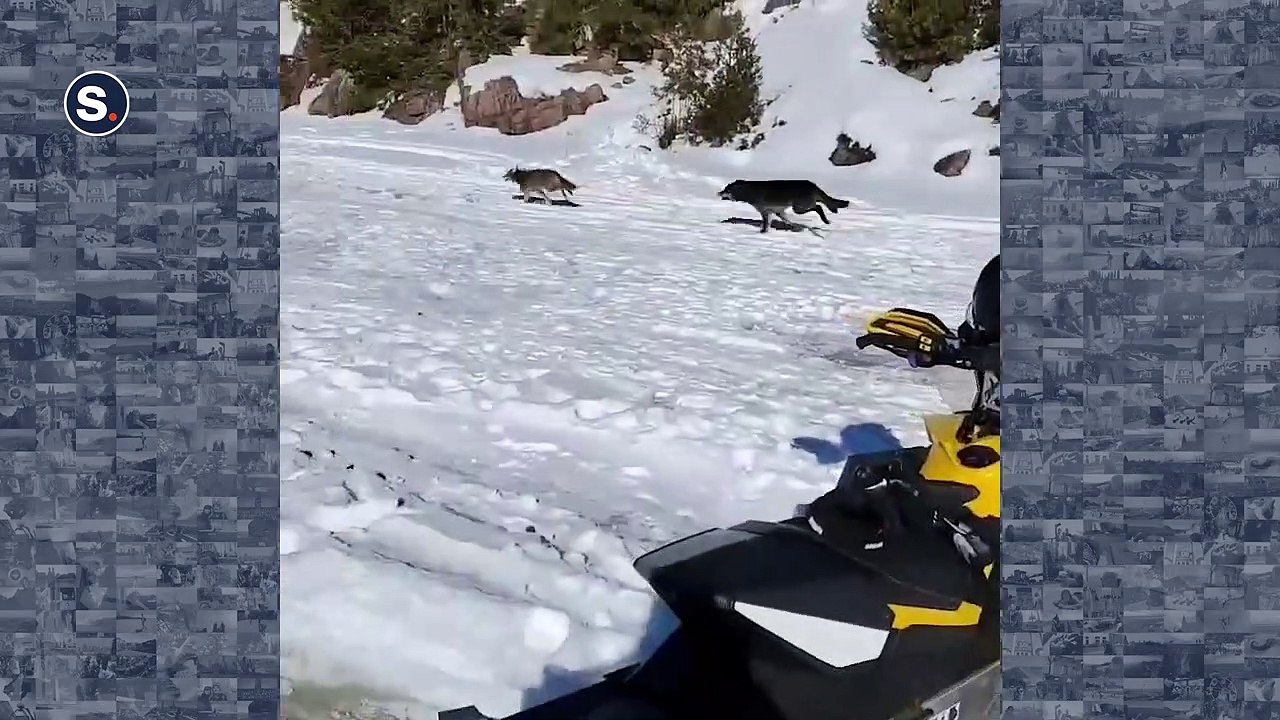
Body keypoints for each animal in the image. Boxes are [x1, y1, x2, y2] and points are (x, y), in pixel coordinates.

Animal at [717, 179, 851, 233]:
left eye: (726, 190)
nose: (718, 193)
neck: (749, 192)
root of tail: (813, 185)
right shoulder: (777, 212)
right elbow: (788, 222)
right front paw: (796, 228)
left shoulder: (765, 212)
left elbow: (766, 224)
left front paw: (763, 233)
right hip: (799, 208)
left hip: (798, 208)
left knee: (818, 207)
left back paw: (825, 220)